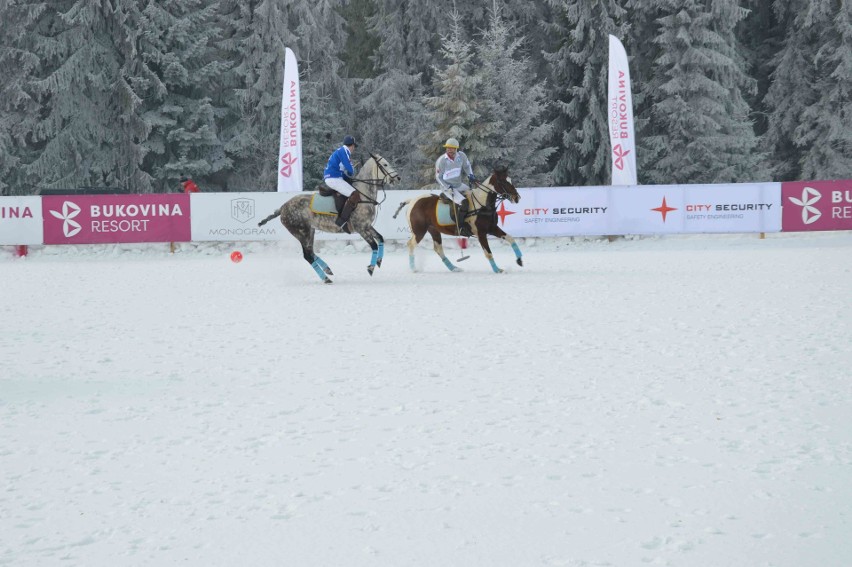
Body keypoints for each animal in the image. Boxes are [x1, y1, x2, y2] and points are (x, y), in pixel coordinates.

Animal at [258, 153, 402, 284]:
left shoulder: (367, 226)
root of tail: (282, 207)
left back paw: (327, 269)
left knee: (310, 252)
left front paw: (379, 261)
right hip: (301, 232)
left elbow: (380, 238)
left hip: (310, 231)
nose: (398, 178)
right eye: (385, 164)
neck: (363, 195)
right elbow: (374, 245)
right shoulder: (361, 228)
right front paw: (371, 267)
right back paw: (326, 278)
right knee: (307, 255)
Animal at [394, 163, 524, 274]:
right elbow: (488, 253)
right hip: (419, 230)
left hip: (434, 230)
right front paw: (497, 270)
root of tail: (412, 201)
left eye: (510, 180)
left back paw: (454, 268)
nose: (517, 198)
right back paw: (413, 268)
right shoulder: (481, 233)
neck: (483, 204)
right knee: (411, 244)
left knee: (438, 248)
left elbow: (511, 239)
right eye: (502, 181)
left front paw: (519, 260)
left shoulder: (492, 228)